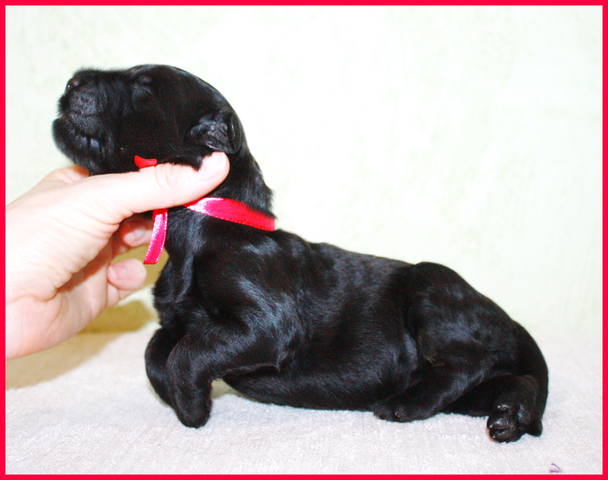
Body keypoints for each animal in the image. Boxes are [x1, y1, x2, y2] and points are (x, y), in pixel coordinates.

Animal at [53, 65, 548, 442]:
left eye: (144, 86)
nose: (72, 81)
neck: (201, 227)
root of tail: (505, 317)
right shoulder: (175, 320)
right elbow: (156, 352)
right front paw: (181, 397)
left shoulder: (265, 323)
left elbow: (186, 354)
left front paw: (192, 408)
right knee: (509, 379)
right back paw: (510, 416)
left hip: (431, 287)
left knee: (469, 361)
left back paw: (408, 404)